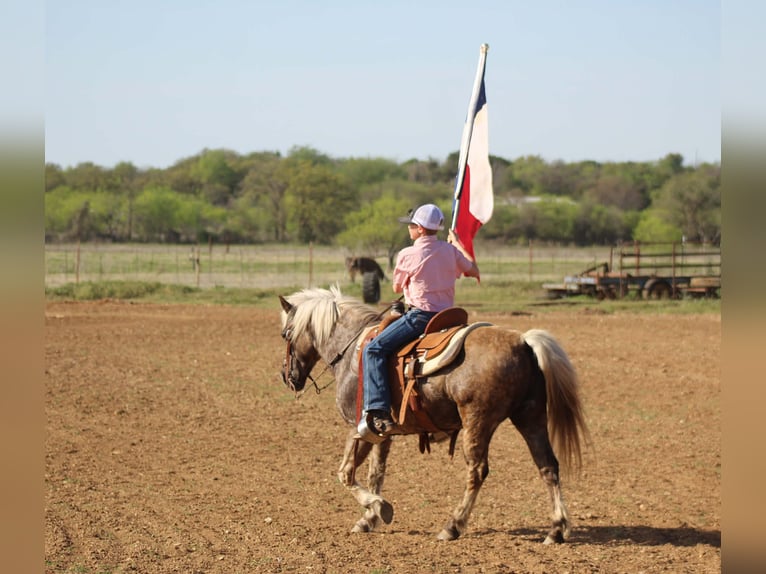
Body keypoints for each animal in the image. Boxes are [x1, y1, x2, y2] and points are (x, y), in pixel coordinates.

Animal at [278, 285, 590, 543]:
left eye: (285, 334)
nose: (287, 376)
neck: (353, 350)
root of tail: (522, 341)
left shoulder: (359, 428)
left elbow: (345, 473)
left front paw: (378, 507)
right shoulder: (381, 432)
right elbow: (376, 474)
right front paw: (369, 519)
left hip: (478, 421)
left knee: (477, 471)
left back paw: (452, 526)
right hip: (530, 417)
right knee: (547, 465)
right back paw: (556, 529)